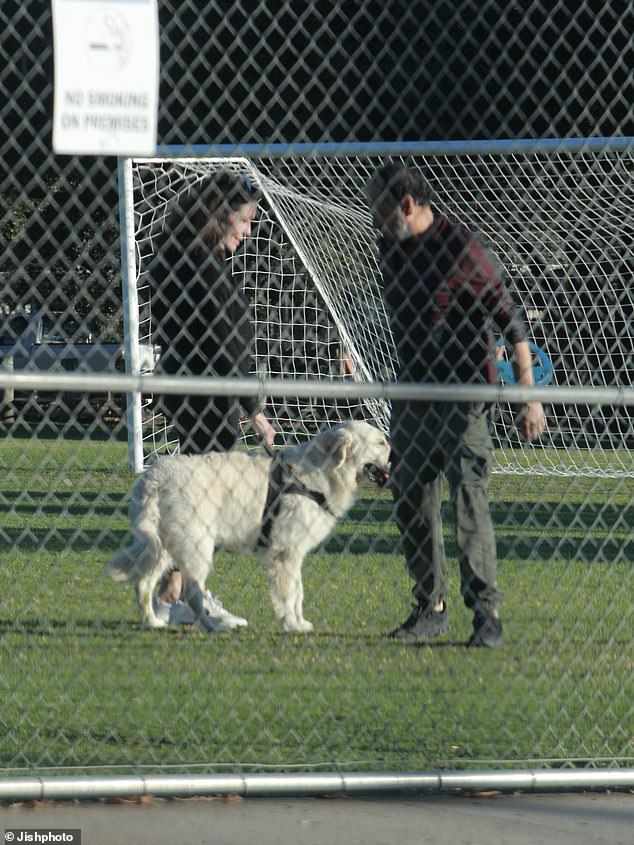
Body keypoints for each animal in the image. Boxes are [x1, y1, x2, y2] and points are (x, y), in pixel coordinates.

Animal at [106, 418, 388, 628]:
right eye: (381, 442)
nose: (393, 457)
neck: (321, 471)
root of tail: (153, 477)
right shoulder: (285, 552)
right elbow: (291, 593)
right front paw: (293, 624)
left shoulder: (292, 553)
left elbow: (297, 591)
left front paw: (298, 622)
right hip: (196, 547)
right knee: (191, 593)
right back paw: (210, 625)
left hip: (163, 547)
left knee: (143, 584)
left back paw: (153, 621)